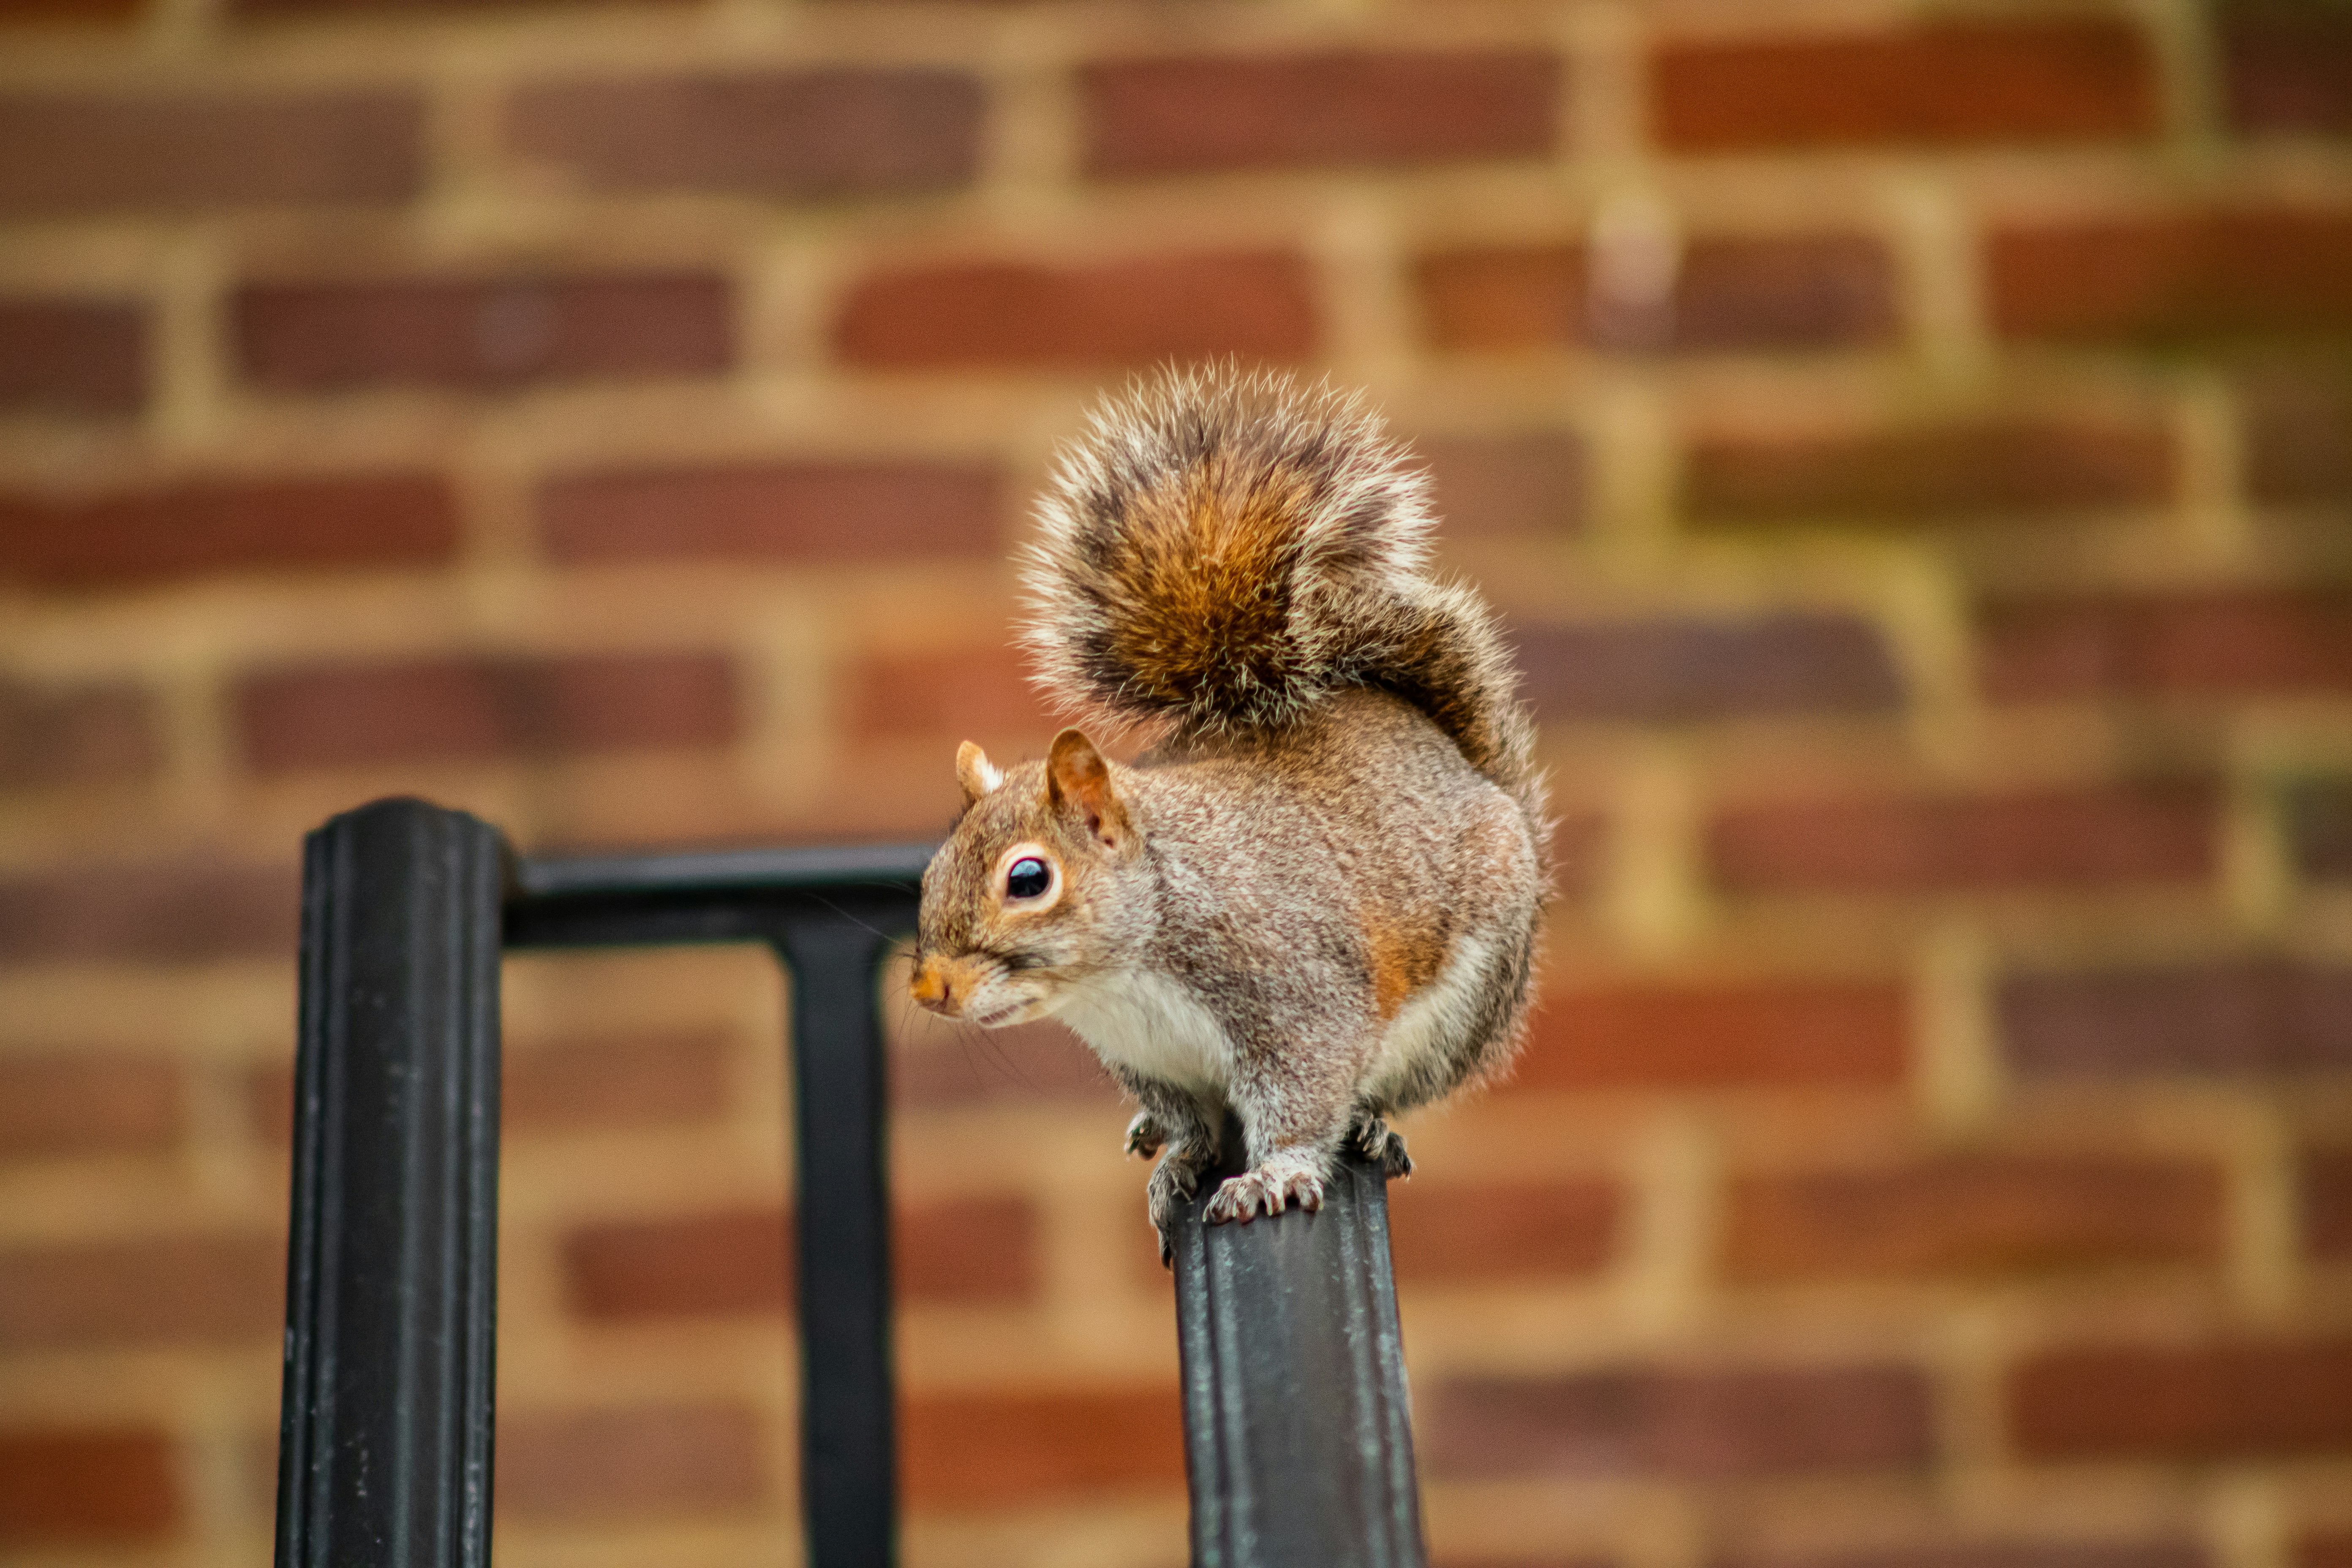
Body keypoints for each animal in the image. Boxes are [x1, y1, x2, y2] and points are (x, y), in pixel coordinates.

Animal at [909, 364, 1550, 1258]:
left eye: (1028, 879)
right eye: (929, 870)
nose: (927, 987)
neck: (1125, 976)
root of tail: (1470, 771)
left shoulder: (1296, 995)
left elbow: (1301, 1096)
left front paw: (1270, 1175)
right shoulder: (1152, 1061)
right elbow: (1191, 1125)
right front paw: (1178, 1160)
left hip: (1469, 998)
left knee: (1391, 1088)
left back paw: (1373, 1125)